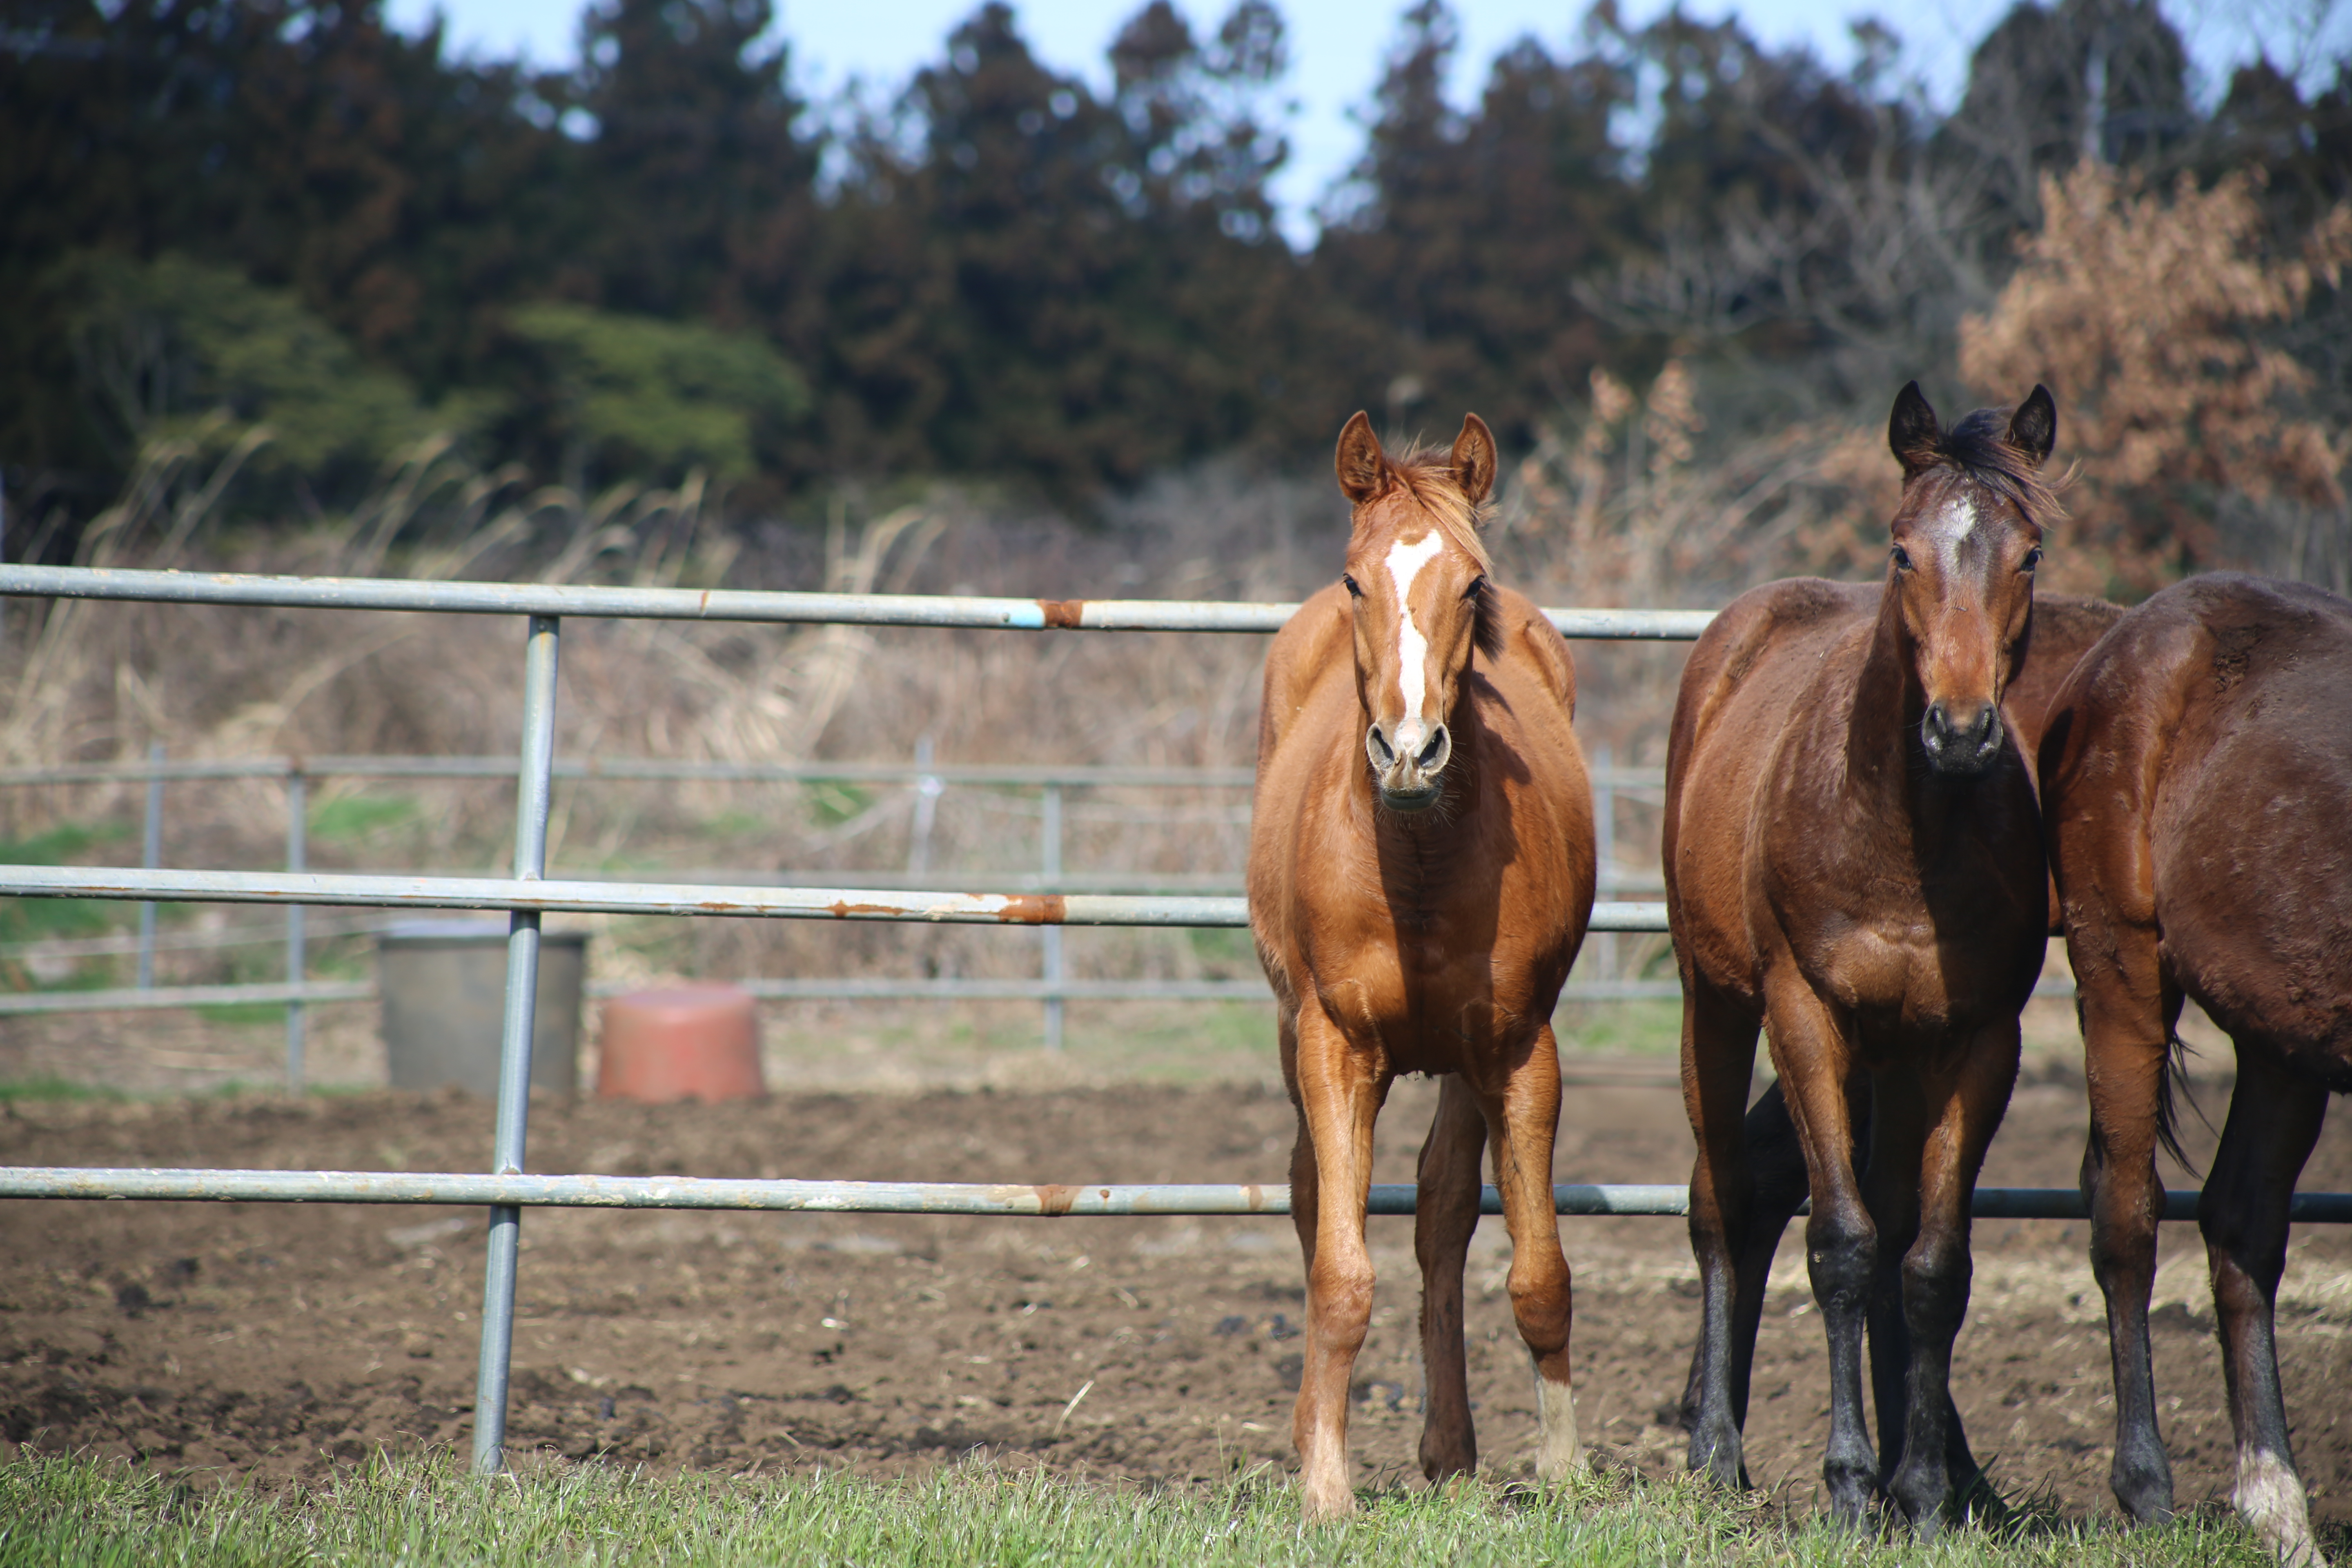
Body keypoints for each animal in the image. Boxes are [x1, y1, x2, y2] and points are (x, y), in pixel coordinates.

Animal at [1251, 414, 1599, 1523]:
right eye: (1354, 579)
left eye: (1471, 583)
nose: (1408, 750)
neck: (1412, 865)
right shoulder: (1333, 1049)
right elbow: (1339, 1272)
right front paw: (1324, 1487)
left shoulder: (1517, 1051)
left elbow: (1535, 1273)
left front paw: (1564, 1471)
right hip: (1295, 1033)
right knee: (1311, 1195)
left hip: (1459, 1063)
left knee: (1443, 1213)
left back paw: (1450, 1450)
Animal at [1675, 383, 2060, 1532]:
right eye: (1900, 550)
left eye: (2029, 552)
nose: (1961, 730)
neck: (1899, 834)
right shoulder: (1804, 1015)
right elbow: (1841, 1246)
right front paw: (1846, 1482)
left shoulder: (1978, 1040)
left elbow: (1930, 1264)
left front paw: (1922, 1489)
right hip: (1715, 1005)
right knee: (1721, 1200)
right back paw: (1714, 1451)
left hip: (1895, 1060)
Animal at [2041, 573, 2352, 1568]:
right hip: (2122, 968)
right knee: (2127, 1212)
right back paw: (2149, 1492)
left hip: (2281, 1033)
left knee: (2241, 1221)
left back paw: (2277, 1510)